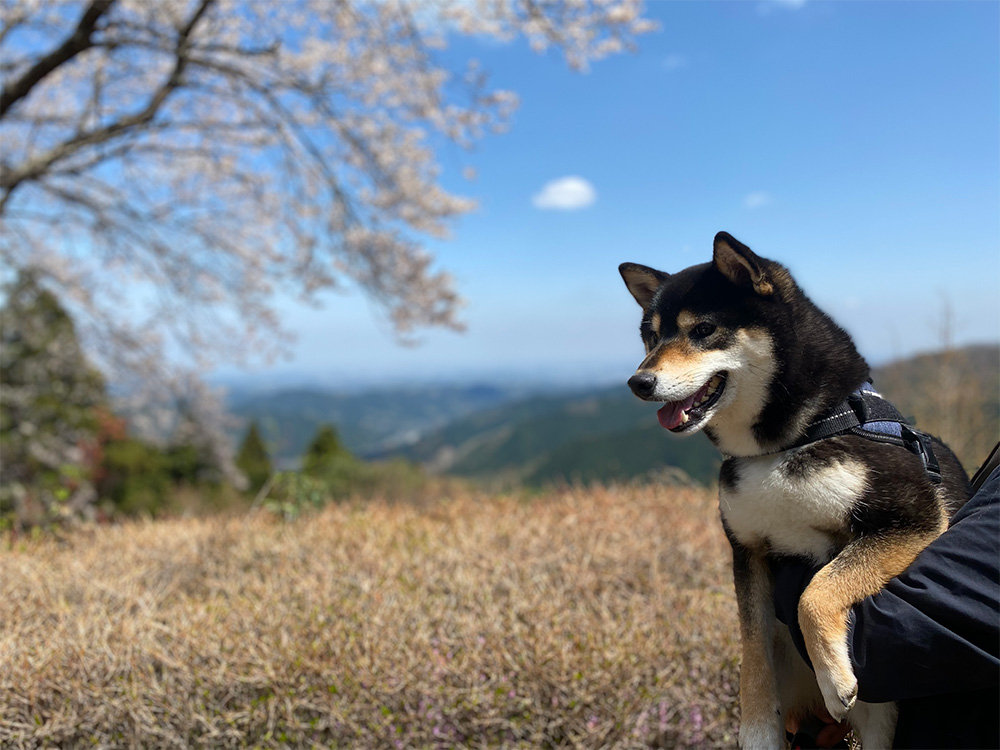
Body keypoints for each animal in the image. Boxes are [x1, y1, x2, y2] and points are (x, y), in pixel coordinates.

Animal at [616, 232, 968, 748]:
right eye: (650, 337)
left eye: (703, 330)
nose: (638, 382)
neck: (783, 446)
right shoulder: (747, 551)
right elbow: (753, 647)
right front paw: (757, 726)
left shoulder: (912, 518)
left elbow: (815, 591)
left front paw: (834, 678)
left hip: (881, 720)